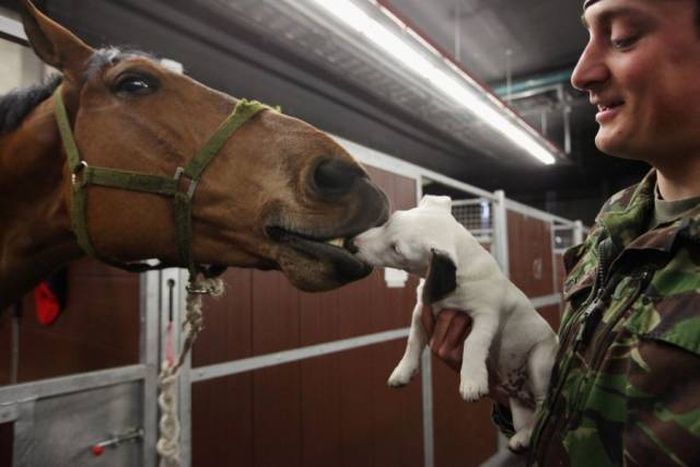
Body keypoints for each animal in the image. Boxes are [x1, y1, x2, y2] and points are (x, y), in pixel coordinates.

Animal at [356, 195, 556, 454]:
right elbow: (413, 341)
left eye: (396, 249)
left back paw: (525, 434)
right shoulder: (421, 311)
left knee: (543, 406)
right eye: (390, 220)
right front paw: (402, 371)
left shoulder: (486, 316)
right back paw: (522, 436)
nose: (352, 244)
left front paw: (471, 381)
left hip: (539, 361)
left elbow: (474, 342)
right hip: (518, 405)